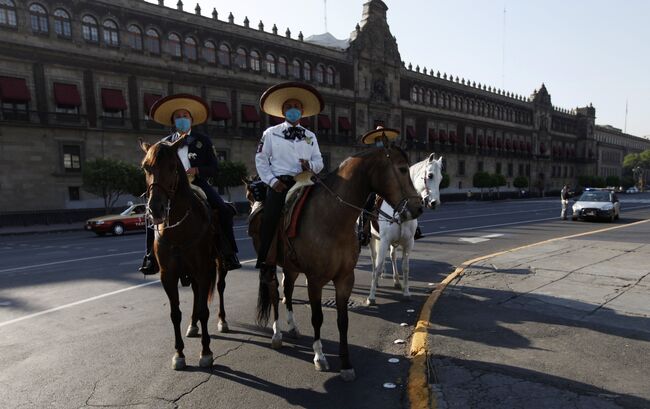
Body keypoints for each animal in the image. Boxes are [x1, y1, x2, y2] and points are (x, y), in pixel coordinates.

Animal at [138, 138, 229, 370]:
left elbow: (205, 310)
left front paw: (206, 352)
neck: (179, 228)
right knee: (197, 294)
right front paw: (179, 353)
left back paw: (222, 320)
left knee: (220, 288)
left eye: (172, 166)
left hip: (218, 265)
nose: (156, 209)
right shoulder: (168, 276)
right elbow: (175, 313)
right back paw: (193, 325)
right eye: (146, 167)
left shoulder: (204, 270)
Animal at [246, 144, 422, 380]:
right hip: (270, 262)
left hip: (291, 266)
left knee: (288, 290)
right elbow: (317, 317)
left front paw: (346, 363)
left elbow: (343, 320)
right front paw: (319, 356)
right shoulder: (315, 280)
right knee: (275, 293)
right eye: (403, 169)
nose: (419, 206)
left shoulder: (345, 278)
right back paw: (277, 334)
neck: (332, 218)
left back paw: (292, 327)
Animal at [364, 154, 440, 306]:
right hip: (372, 239)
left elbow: (405, 267)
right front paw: (371, 296)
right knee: (374, 258)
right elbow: (378, 265)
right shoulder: (384, 240)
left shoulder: (408, 243)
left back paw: (396, 281)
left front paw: (406, 292)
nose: (434, 203)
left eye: (441, 178)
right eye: (430, 175)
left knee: (392, 256)